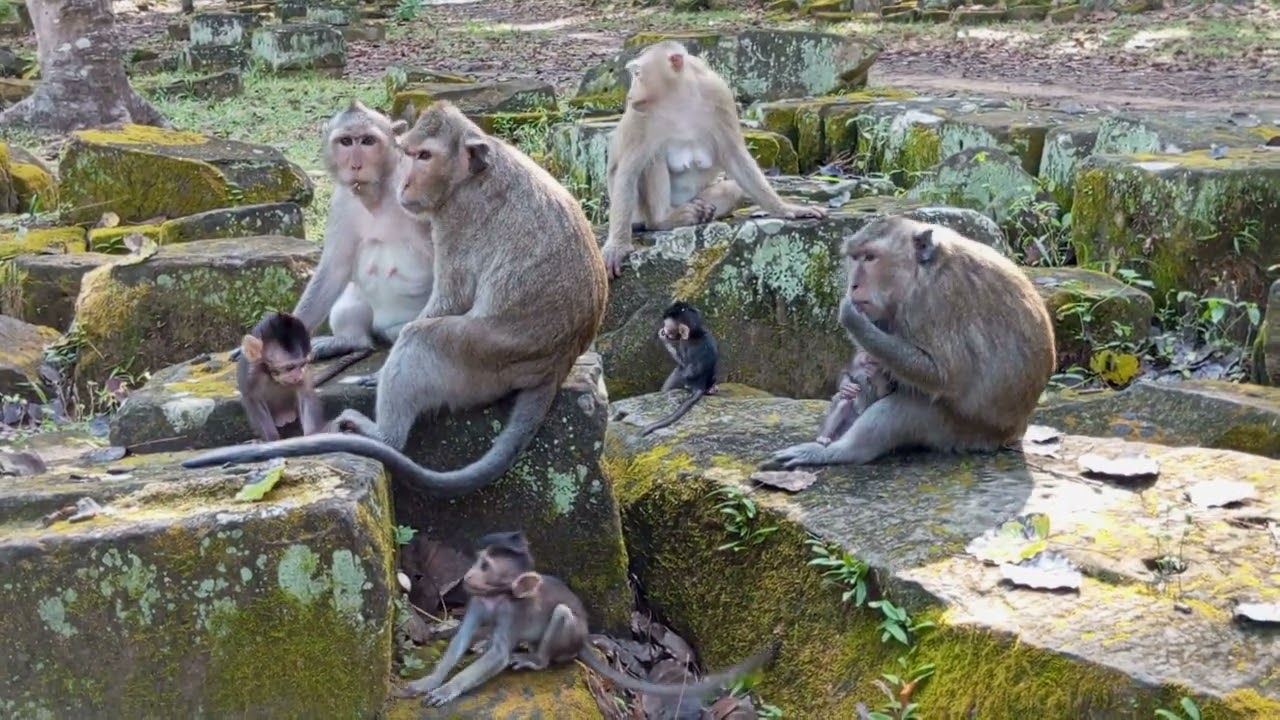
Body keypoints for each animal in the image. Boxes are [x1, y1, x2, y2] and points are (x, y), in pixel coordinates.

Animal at [237, 311, 372, 442]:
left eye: (301, 365)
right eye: (289, 368)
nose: (297, 377)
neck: (271, 375)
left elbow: (305, 393)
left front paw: (312, 434)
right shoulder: (252, 372)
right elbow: (252, 398)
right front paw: (272, 439)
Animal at [395, 531, 777, 707]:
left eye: (486, 566)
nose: (468, 576)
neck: (497, 596)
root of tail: (583, 642)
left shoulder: (511, 611)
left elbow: (499, 655)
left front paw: (448, 689)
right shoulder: (479, 601)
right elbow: (461, 638)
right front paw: (430, 681)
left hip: (569, 635)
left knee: (559, 620)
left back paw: (535, 659)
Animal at [600, 40, 829, 278]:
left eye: (638, 74)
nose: (630, 94)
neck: (678, 97)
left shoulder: (719, 95)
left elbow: (735, 156)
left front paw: (787, 208)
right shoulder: (640, 115)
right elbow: (628, 171)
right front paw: (617, 246)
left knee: (732, 190)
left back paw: (702, 213)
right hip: (638, 213)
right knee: (652, 158)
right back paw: (663, 219)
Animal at [640, 300, 719, 436]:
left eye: (668, 326)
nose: (664, 329)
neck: (696, 334)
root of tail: (699, 385)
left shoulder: (685, 344)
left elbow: (684, 366)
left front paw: (664, 338)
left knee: (679, 372)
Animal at [766, 215, 1056, 469]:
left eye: (870, 258)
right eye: (855, 258)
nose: (854, 285)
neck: (920, 273)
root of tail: (1014, 433)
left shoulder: (939, 300)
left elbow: (944, 377)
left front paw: (853, 319)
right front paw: (850, 383)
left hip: (962, 432)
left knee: (901, 410)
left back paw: (836, 452)